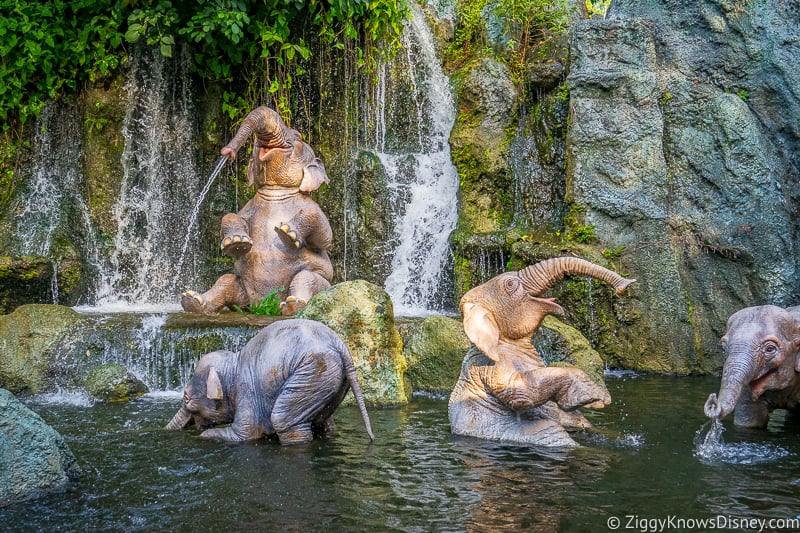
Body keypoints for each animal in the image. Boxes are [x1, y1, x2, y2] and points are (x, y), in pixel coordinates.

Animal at [167, 316, 374, 444]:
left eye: (186, 397)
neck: (233, 364)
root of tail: (341, 346)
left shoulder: (246, 391)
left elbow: (245, 435)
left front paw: (202, 436)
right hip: (329, 381)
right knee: (324, 421)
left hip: (313, 372)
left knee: (283, 420)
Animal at [181, 108, 332, 316]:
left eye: (298, 136)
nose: (228, 152)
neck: (276, 191)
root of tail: (262, 305)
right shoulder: (251, 206)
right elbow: (234, 216)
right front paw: (237, 243)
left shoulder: (309, 204)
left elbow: (324, 237)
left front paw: (286, 233)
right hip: (242, 289)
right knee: (226, 280)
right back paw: (193, 301)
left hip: (323, 284)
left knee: (306, 277)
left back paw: (294, 305)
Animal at [450, 256, 636, 446]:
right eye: (510, 284)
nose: (626, 286)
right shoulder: (490, 365)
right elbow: (520, 395)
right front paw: (595, 398)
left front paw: (597, 401)